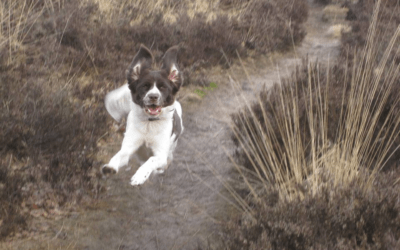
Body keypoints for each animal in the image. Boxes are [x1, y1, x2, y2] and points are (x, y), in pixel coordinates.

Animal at [103, 45, 184, 186]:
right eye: (145, 86)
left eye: (163, 87)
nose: (153, 96)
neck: (149, 123)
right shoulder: (130, 146)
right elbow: (119, 155)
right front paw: (110, 167)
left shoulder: (161, 154)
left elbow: (151, 160)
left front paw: (139, 176)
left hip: (171, 148)